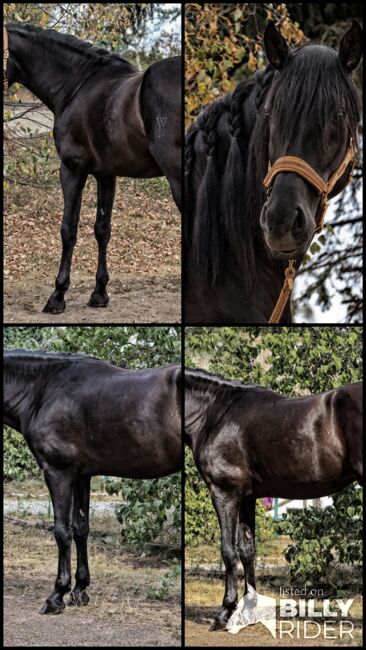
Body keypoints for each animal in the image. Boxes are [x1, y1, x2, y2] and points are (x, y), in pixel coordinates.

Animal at [2, 346, 180, 612]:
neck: (44, 389)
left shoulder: (58, 472)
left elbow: (61, 531)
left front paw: (57, 595)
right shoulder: (81, 475)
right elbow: (80, 529)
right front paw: (79, 591)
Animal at [5, 22, 182, 312]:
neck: (76, 85)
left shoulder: (72, 170)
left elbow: (68, 230)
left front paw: (58, 296)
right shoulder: (105, 175)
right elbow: (102, 230)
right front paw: (99, 293)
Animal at [186, 370, 364, 628]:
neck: (216, 413)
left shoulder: (224, 493)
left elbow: (228, 550)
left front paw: (224, 613)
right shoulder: (247, 498)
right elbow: (247, 550)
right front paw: (248, 611)